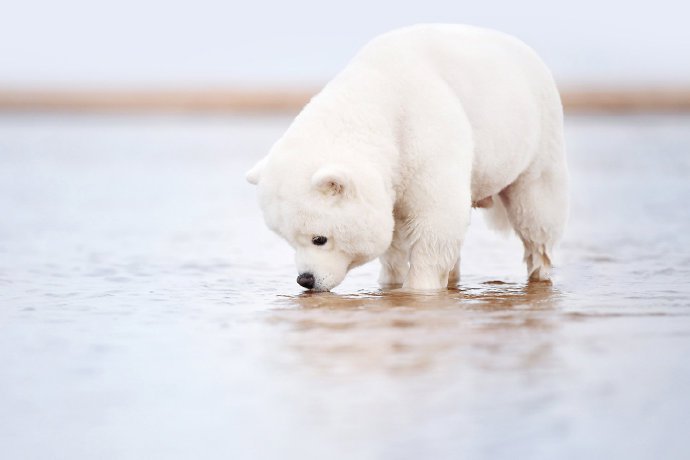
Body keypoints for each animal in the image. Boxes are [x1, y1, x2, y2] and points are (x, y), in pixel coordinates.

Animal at [245, 24, 568, 292]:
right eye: (287, 238)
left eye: (319, 238)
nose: (306, 280)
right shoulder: (395, 172)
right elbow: (394, 236)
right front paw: (390, 282)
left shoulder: (427, 136)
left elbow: (437, 220)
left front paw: (419, 287)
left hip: (539, 134)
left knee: (536, 211)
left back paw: (539, 271)